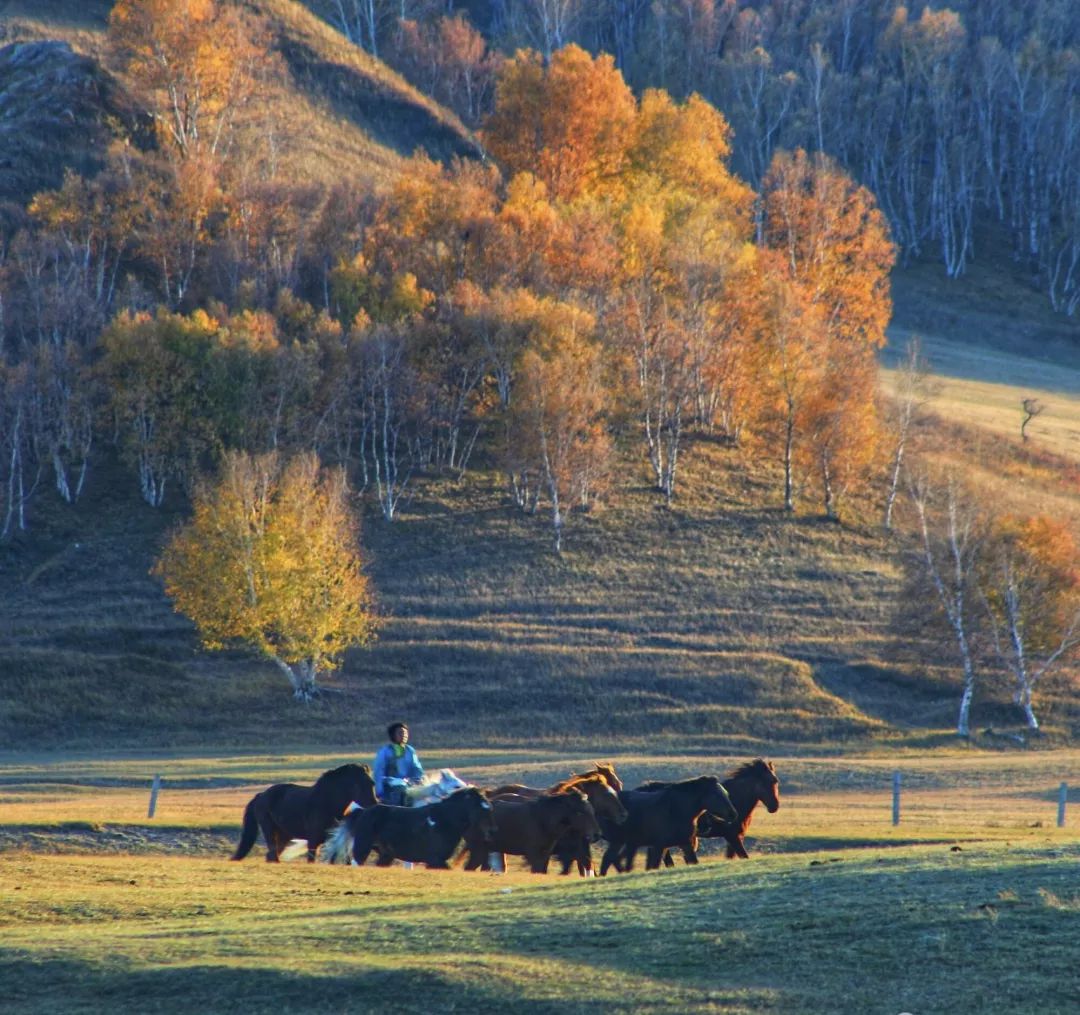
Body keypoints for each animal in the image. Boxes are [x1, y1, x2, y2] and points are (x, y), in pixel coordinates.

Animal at [230, 760, 378, 863]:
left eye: (372, 783)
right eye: (357, 784)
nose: (373, 804)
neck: (328, 804)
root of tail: (261, 795)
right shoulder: (313, 841)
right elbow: (311, 859)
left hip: (284, 835)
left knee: (271, 856)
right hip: (270, 830)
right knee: (273, 855)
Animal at [321, 790, 494, 868]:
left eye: (489, 808)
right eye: (481, 808)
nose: (492, 831)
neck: (443, 820)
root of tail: (362, 812)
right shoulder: (434, 859)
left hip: (386, 855)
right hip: (362, 849)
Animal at [462, 790, 604, 876]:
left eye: (592, 811)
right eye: (580, 812)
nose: (596, 834)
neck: (543, 819)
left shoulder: (545, 855)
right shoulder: (533, 855)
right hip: (479, 850)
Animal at [596, 773, 738, 876]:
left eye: (726, 793)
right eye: (717, 795)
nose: (733, 814)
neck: (676, 810)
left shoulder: (684, 843)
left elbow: (693, 861)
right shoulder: (659, 846)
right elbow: (654, 865)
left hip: (622, 842)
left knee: (610, 859)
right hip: (619, 841)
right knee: (609, 859)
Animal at [639, 755, 786, 868]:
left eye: (775, 781)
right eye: (767, 781)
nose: (774, 806)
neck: (734, 800)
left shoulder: (735, 837)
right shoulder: (732, 836)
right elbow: (744, 856)